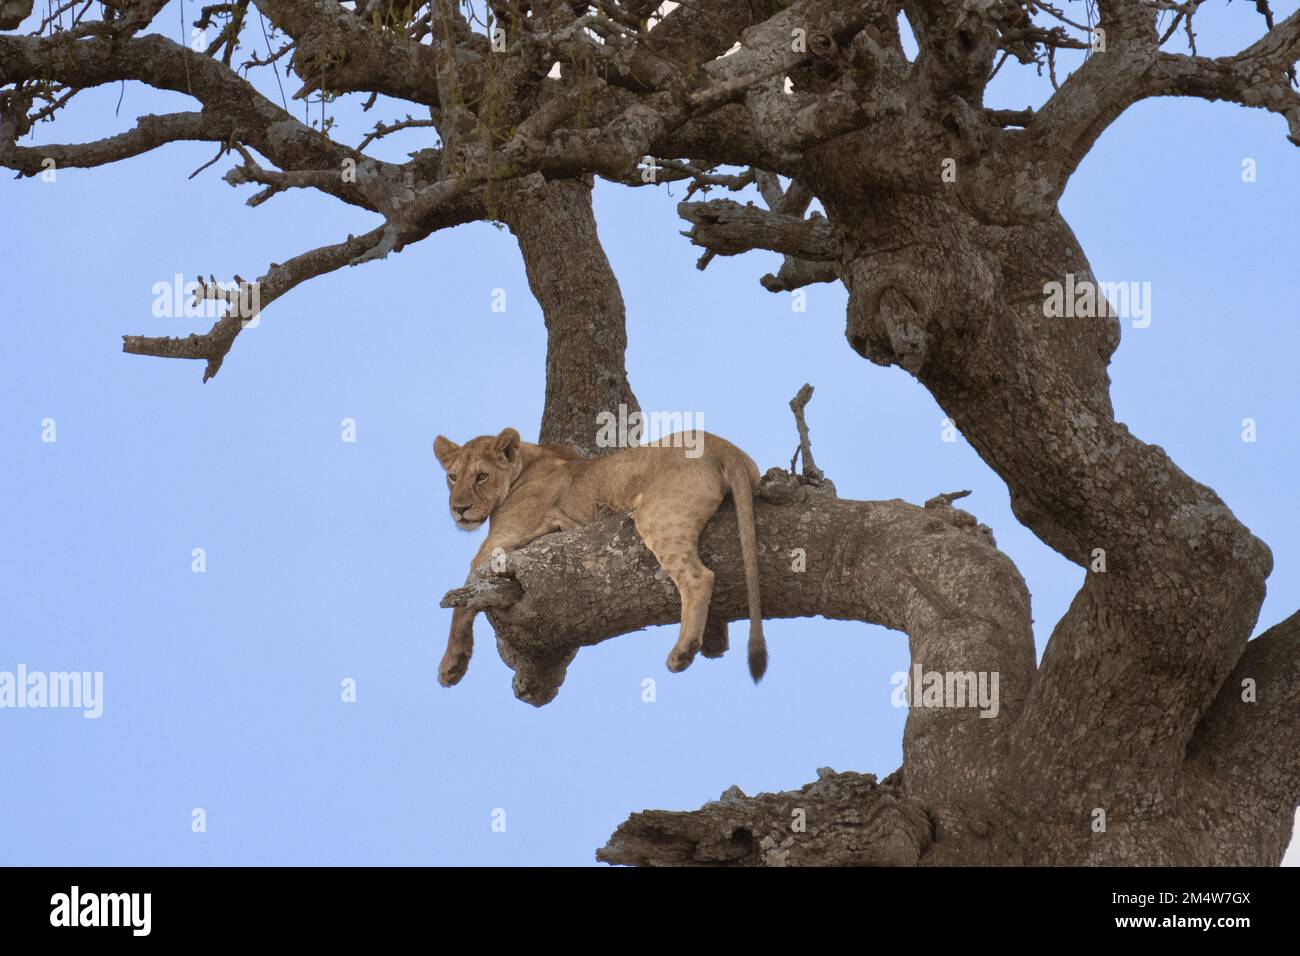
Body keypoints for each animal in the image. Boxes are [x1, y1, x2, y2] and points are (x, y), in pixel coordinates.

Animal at [431, 429, 764, 691]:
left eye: (481, 476)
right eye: (452, 477)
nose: (459, 509)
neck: (525, 463)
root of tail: (726, 447)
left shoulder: (501, 540)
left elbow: (464, 593)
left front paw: (452, 662)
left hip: (658, 516)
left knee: (699, 577)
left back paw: (683, 651)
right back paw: (713, 640)